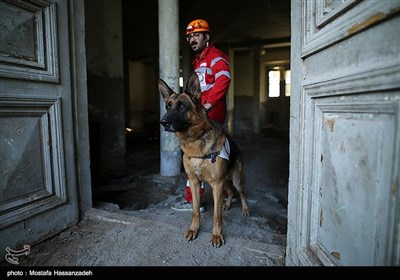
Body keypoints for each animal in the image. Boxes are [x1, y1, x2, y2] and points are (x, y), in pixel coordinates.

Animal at [158, 72, 248, 247]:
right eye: (168, 107)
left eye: (181, 106)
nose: (163, 122)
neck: (195, 140)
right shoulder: (194, 181)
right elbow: (195, 210)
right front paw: (194, 230)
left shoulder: (217, 184)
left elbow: (216, 215)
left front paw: (217, 235)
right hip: (225, 181)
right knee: (231, 192)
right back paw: (228, 204)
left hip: (235, 179)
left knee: (240, 192)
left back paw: (245, 209)